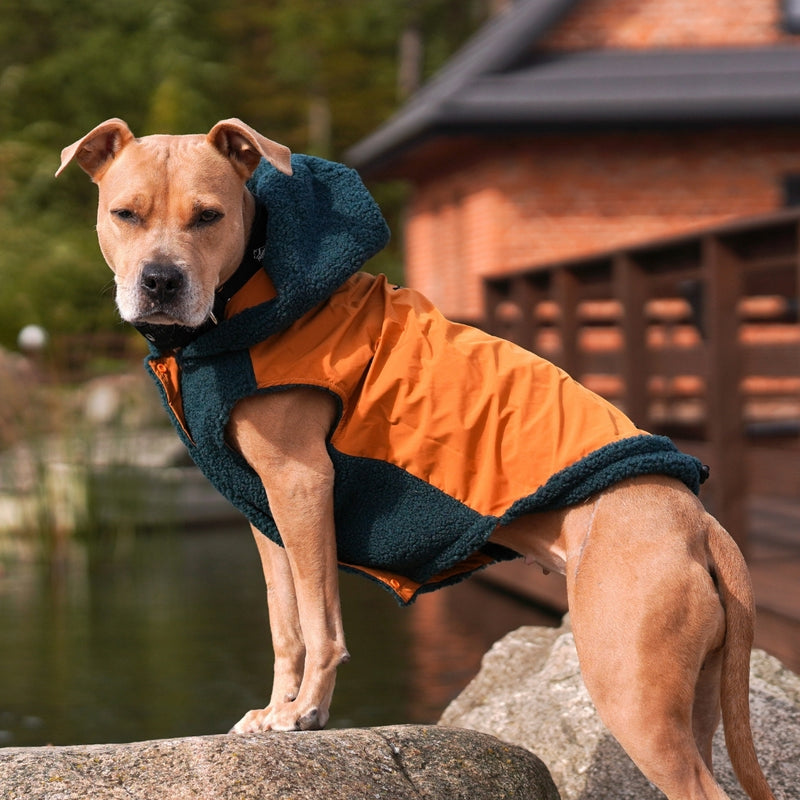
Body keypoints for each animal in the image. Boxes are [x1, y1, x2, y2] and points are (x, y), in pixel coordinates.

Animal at [57, 119, 776, 800]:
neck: (245, 296)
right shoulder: (266, 515)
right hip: (693, 701)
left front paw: (305, 714)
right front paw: (274, 711)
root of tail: (699, 523)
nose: (160, 280)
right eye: (126, 214)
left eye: (208, 216)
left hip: (632, 691)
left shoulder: (301, 484)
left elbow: (320, 620)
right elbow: (285, 622)